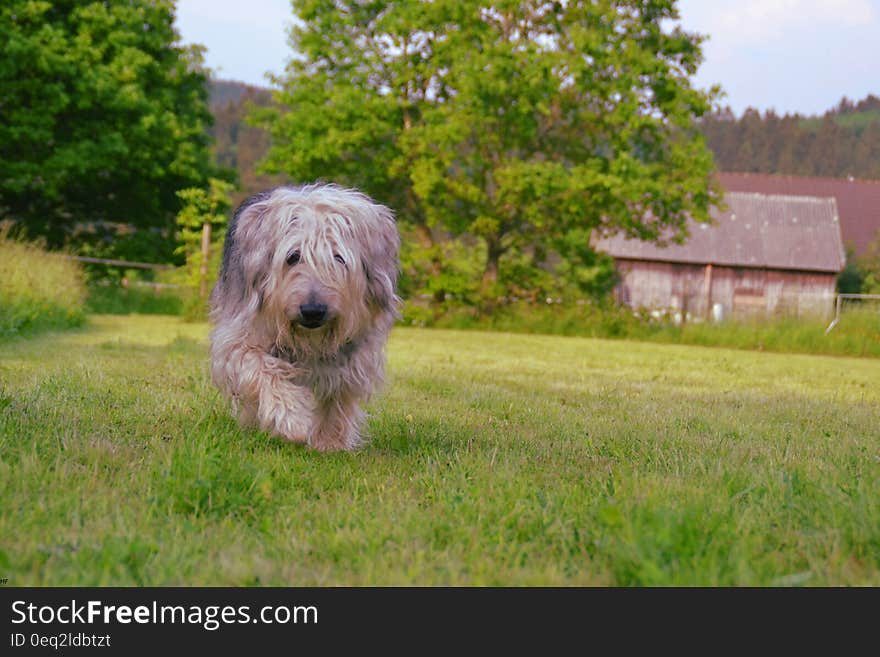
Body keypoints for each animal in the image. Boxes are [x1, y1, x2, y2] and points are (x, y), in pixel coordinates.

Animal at [208, 184, 400, 452]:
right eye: (293, 256)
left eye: (338, 258)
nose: (313, 311)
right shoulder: (238, 338)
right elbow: (262, 369)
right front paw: (293, 418)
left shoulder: (355, 353)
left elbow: (337, 391)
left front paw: (330, 442)